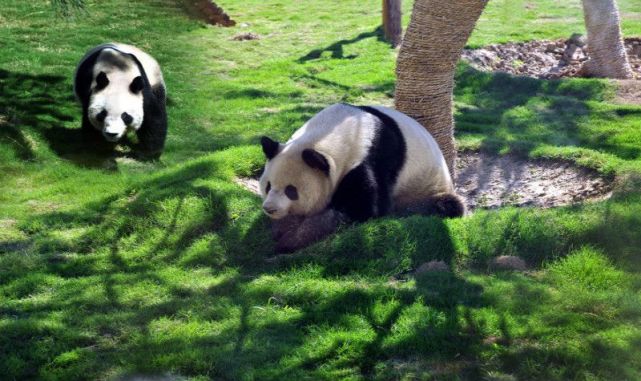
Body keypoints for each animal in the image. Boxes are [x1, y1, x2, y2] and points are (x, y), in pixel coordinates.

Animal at [260, 104, 464, 252]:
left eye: (291, 190)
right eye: (268, 186)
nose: (269, 208)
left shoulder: (371, 159)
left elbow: (361, 210)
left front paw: (291, 240)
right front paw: (282, 228)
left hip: (427, 188)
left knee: (447, 205)